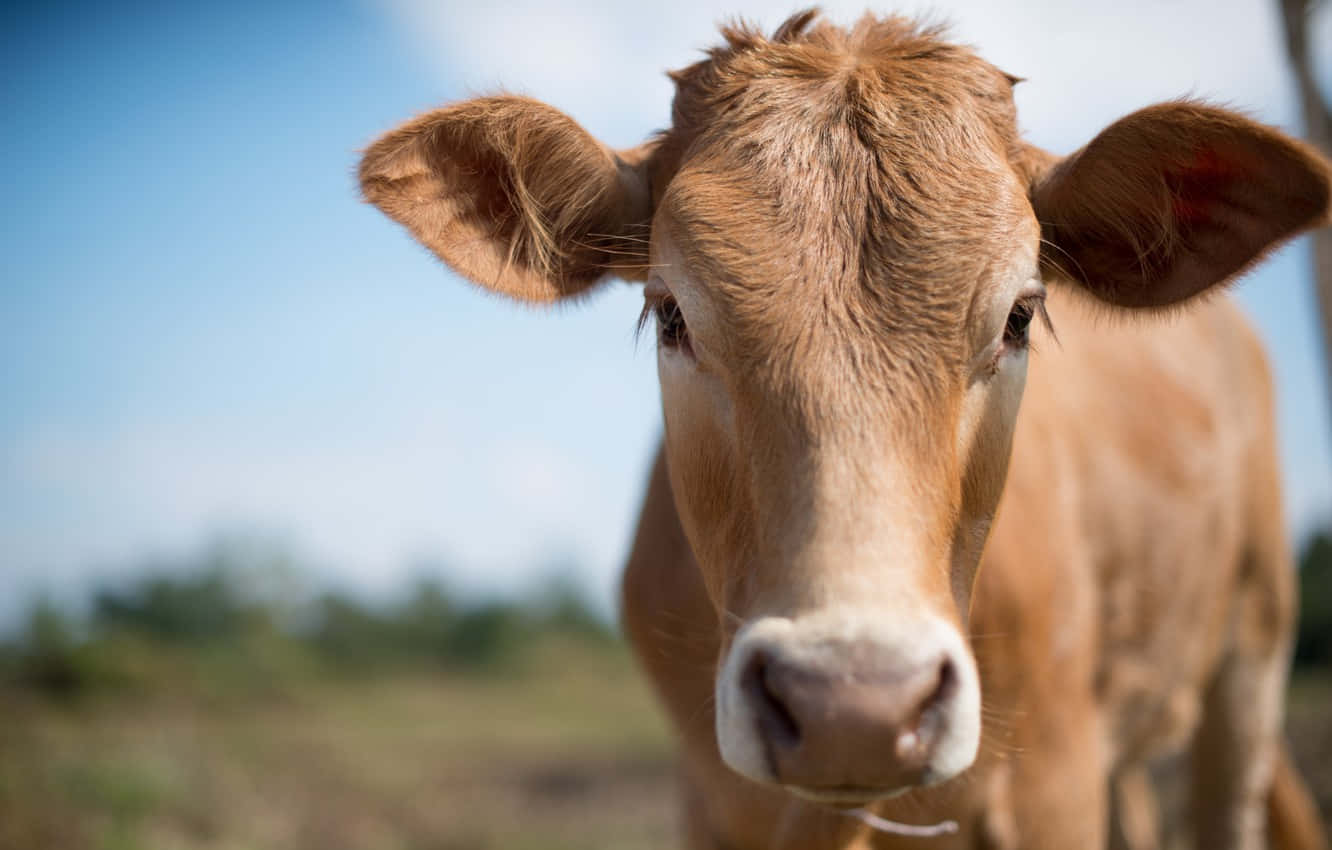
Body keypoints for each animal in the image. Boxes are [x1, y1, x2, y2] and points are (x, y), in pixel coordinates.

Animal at [358, 10, 1331, 849]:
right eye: (670, 314)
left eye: (1020, 316)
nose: (854, 706)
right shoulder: (709, 803)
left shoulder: (1057, 786)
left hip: (1252, 649)